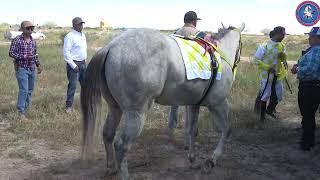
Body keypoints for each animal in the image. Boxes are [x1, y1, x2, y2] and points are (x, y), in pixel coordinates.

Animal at [81, 24, 244, 180]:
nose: (236, 65)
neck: (219, 56)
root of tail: (110, 47)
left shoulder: (194, 105)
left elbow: (193, 131)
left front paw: (193, 160)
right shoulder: (219, 103)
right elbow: (227, 130)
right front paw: (212, 160)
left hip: (115, 108)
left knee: (107, 134)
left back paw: (111, 168)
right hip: (136, 113)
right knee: (121, 145)